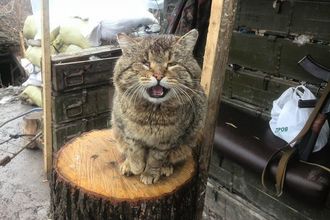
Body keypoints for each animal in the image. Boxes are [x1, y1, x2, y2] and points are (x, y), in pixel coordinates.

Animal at [112, 29, 208, 184]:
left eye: (171, 63)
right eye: (145, 62)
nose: (158, 75)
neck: (152, 113)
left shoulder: (166, 141)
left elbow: (155, 159)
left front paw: (150, 173)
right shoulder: (127, 131)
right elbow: (134, 150)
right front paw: (136, 167)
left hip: (189, 140)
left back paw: (165, 167)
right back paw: (127, 165)